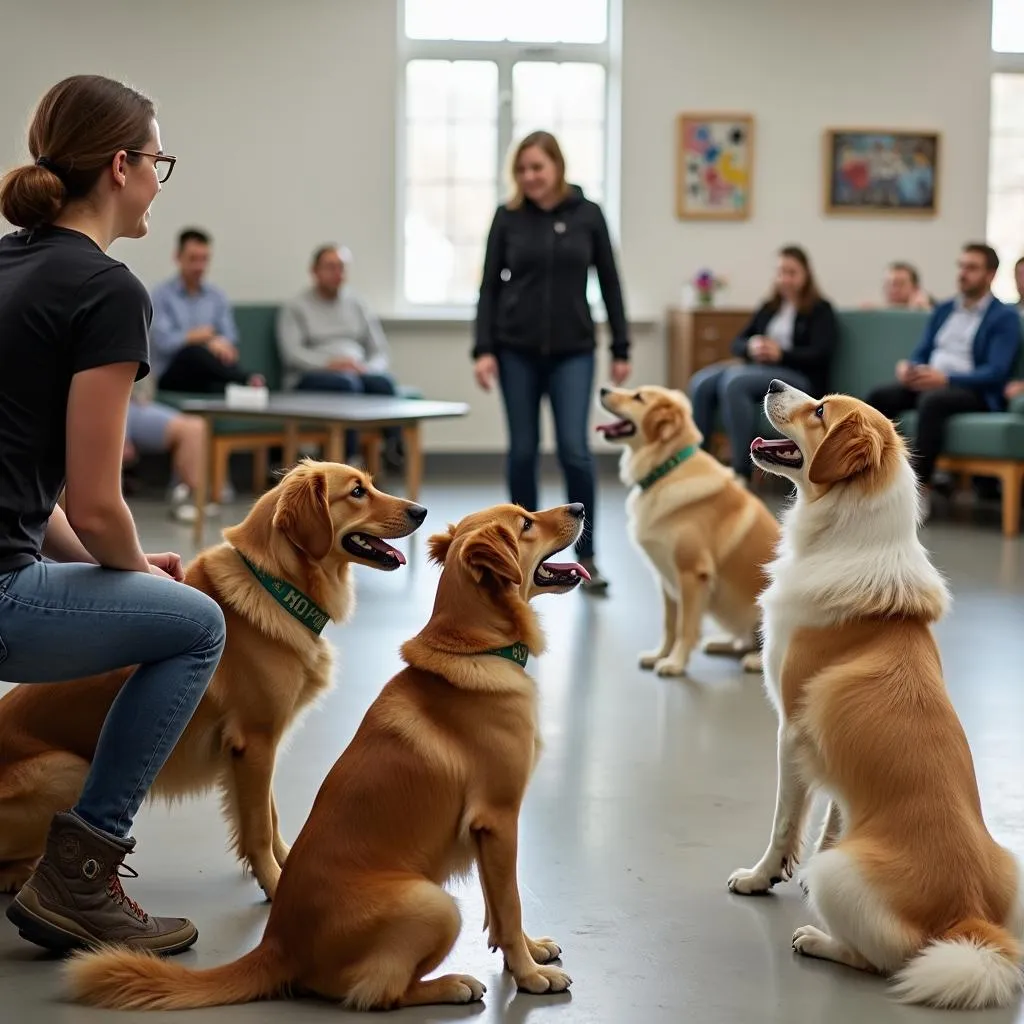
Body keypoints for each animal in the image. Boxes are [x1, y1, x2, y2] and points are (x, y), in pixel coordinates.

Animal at [0, 460, 425, 901]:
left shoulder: (260, 748)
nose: (421, 512)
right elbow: (259, 827)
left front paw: (285, 865)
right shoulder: (255, 742)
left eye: (370, 484)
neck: (275, 586)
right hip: (68, 770)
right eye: (357, 492)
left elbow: (268, 816)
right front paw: (274, 884)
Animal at [66, 499, 593, 1011]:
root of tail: (276, 946)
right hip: (436, 904)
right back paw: (450, 984)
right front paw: (529, 974)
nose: (580, 507)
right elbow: (510, 903)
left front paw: (528, 951)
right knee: (376, 993)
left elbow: (499, 907)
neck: (476, 650)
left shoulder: (490, 835)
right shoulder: (499, 820)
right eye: (525, 523)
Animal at [598, 382, 778, 671]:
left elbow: (685, 627)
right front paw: (659, 655)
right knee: (743, 640)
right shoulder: (666, 577)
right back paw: (721, 643)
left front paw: (675, 663)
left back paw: (754, 660)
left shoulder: (691, 573)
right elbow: (669, 625)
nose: (602, 389)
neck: (666, 469)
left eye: (638, 397)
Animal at [729, 380, 1024, 1011]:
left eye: (819, 411)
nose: (772, 383)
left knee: (886, 961)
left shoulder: (791, 735)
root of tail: (971, 923)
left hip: (849, 884)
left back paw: (817, 939)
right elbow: (834, 817)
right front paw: (802, 868)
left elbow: (785, 823)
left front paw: (762, 878)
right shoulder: (829, 756)